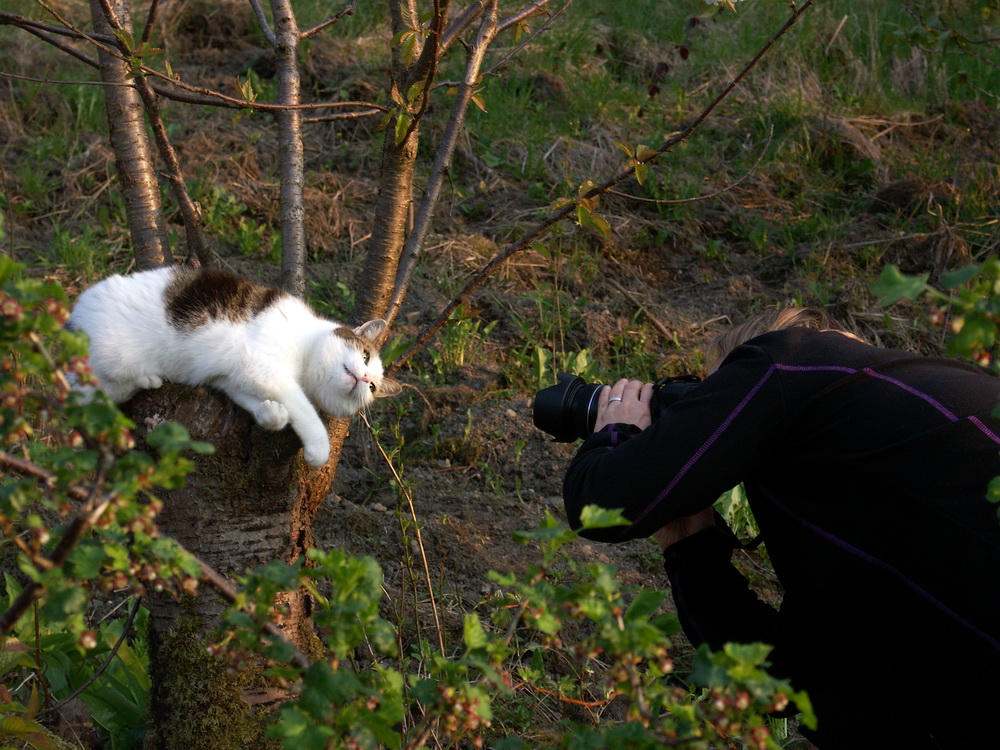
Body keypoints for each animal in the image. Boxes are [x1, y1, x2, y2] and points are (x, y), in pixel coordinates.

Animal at [67, 268, 406, 468]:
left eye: (372, 387)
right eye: (365, 355)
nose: (364, 376)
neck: (307, 353)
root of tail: (71, 320)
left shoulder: (233, 378)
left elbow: (263, 404)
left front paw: (271, 415)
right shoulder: (260, 364)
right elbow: (302, 405)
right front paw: (318, 448)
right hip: (109, 355)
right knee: (96, 392)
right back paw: (145, 378)